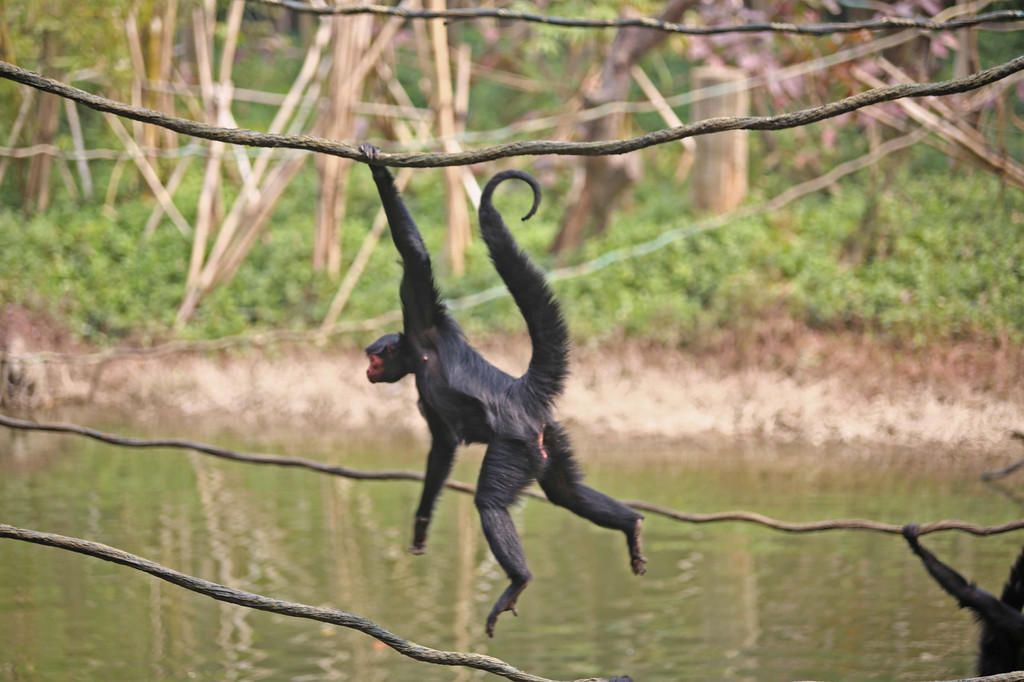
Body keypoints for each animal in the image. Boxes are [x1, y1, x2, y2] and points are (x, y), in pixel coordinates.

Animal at [360, 143, 643, 638]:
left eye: (375, 359)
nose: (367, 370)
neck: (418, 355)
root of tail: (520, 392)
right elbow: (441, 446)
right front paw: (420, 526)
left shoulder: (422, 318)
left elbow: (415, 256)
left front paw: (378, 169)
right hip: (547, 438)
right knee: (566, 492)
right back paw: (630, 525)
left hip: (516, 442)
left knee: (491, 502)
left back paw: (519, 580)